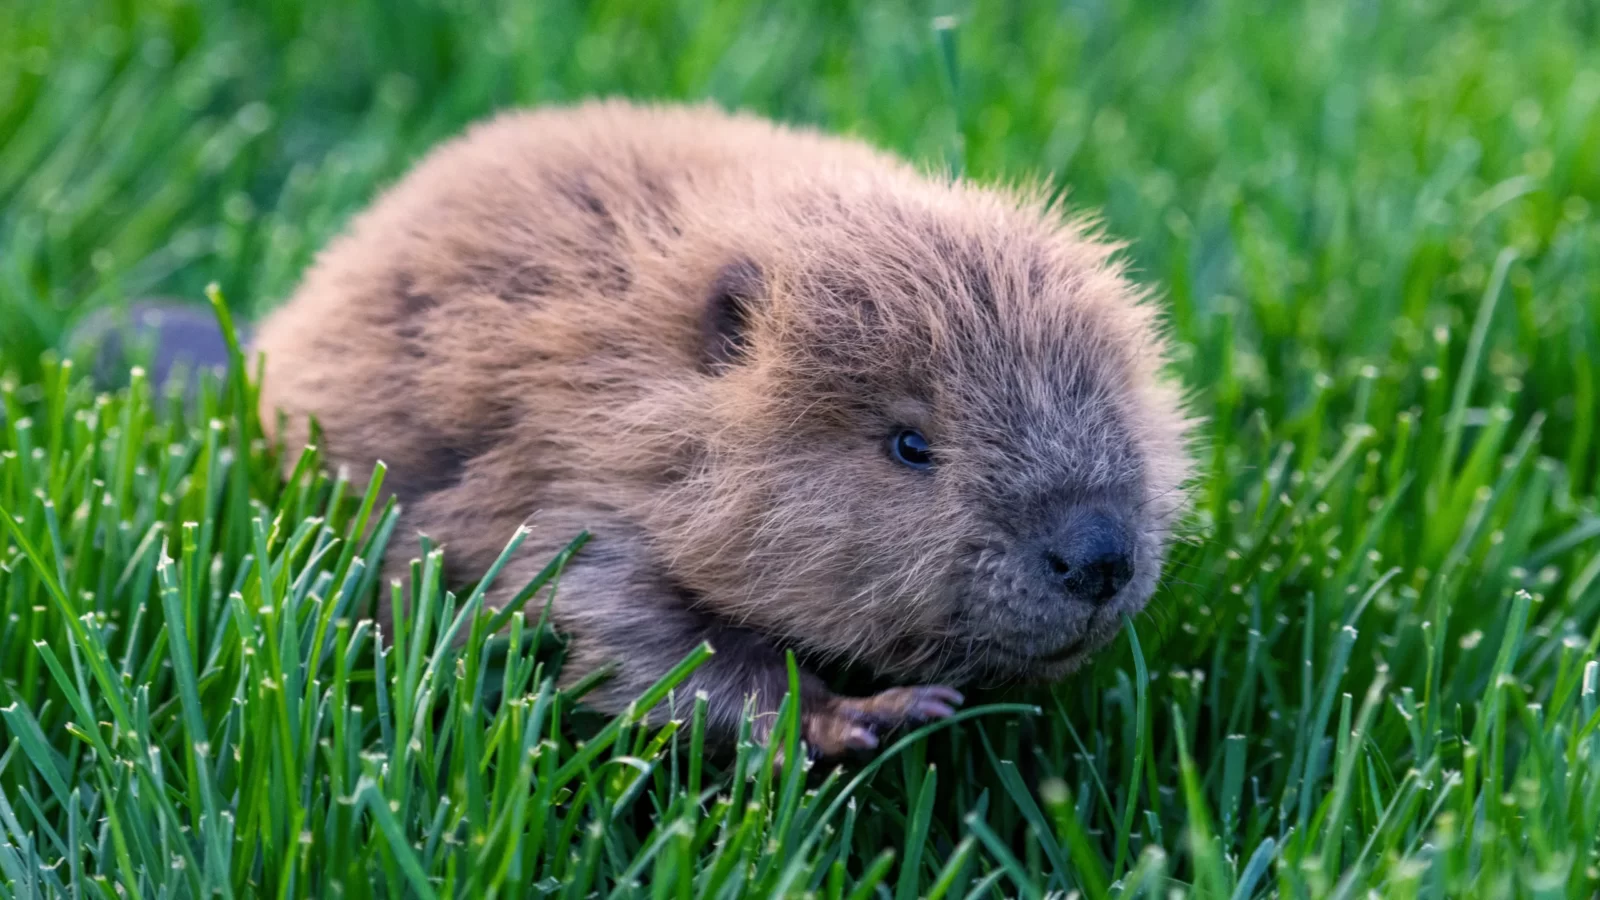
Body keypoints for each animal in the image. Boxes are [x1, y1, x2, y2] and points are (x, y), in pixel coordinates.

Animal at [252, 98, 1203, 755]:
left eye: (1116, 395)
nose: (1097, 555)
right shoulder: (568, 479)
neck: (630, 372)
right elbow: (621, 626)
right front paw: (869, 714)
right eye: (910, 444)